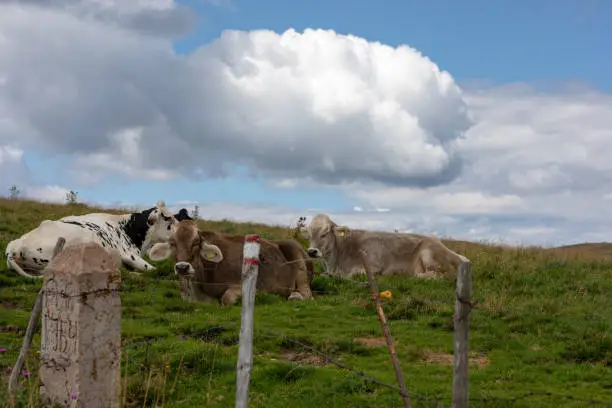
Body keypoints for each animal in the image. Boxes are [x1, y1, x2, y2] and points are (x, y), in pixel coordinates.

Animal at [146, 220, 314, 306]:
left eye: (196, 243)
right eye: (172, 243)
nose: (182, 267)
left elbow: (227, 298)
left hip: (297, 257)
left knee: (307, 294)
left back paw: (295, 296)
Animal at [300, 212, 468, 278]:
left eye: (325, 233)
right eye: (309, 234)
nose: (312, 251)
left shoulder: (373, 267)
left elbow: (352, 275)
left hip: (428, 253)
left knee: (438, 275)